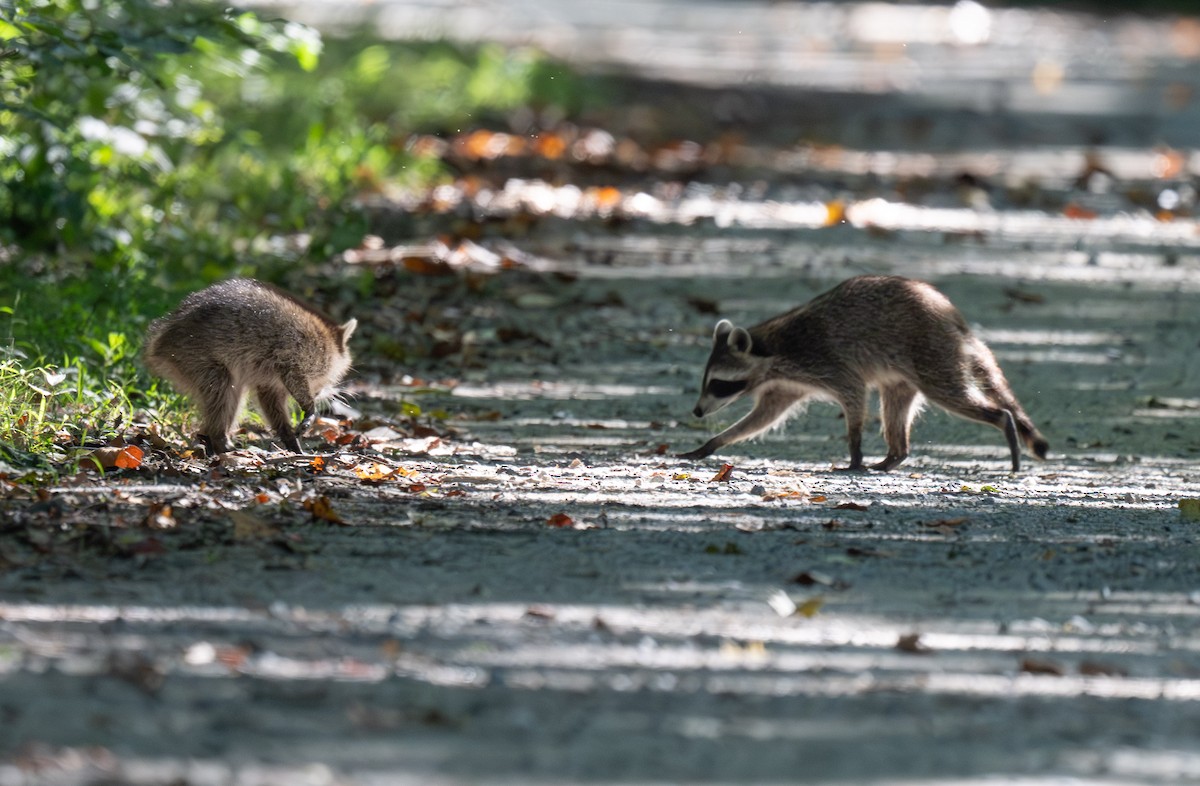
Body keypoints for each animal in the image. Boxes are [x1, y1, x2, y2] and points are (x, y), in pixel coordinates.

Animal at [144, 278, 356, 455]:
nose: (321, 394)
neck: (328, 341)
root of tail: (160, 340)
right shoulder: (296, 355)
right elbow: (293, 378)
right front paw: (309, 407)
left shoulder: (270, 377)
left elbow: (270, 400)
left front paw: (288, 436)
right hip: (193, 355)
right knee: (221, 390)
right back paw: (219, 438)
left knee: (234, 394)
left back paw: (209, 437)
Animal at [680, 275, 1048, 471]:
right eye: (706, 381)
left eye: (718, 384)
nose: (697, 411)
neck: (770, 349)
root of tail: (952, 318)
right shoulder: (785, 384)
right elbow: (764, 417)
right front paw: (712, 443)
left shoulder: (823, 360)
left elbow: (854, 394)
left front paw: (854, 448)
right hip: (906, 372)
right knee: (895, 407)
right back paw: (895, 455)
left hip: (932, 354)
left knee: (950, 393)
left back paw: (1003, 422)